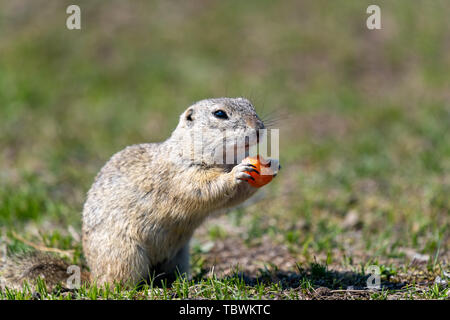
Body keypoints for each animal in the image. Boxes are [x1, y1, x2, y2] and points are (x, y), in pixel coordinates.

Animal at [0, 96, 280, 288]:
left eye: (249, 103)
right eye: (219, 114)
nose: (259, 126)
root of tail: (91, 276)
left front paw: (271, 164)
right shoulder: (180, 175)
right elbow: (206, 189)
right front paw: (238, 172)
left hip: (180, 256)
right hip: (125, 254)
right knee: (117, 285)